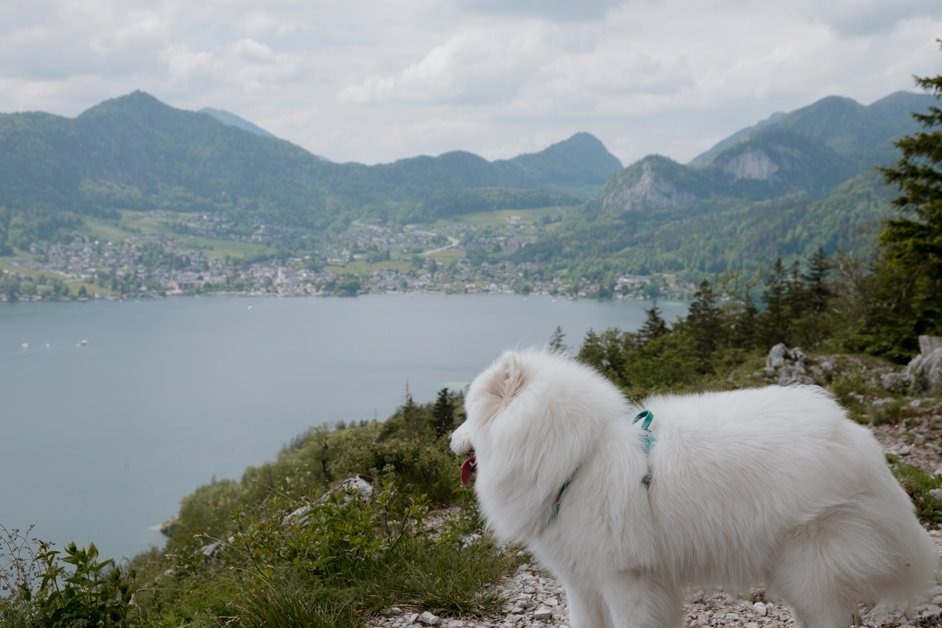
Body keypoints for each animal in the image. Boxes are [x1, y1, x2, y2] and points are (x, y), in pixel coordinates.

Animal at [452, 350, 936, 624]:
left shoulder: (627, 580)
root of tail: (857, 437)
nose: (449, 439)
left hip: (810, 570)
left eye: (467, 414)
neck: (579, 456)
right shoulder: (584, 583)